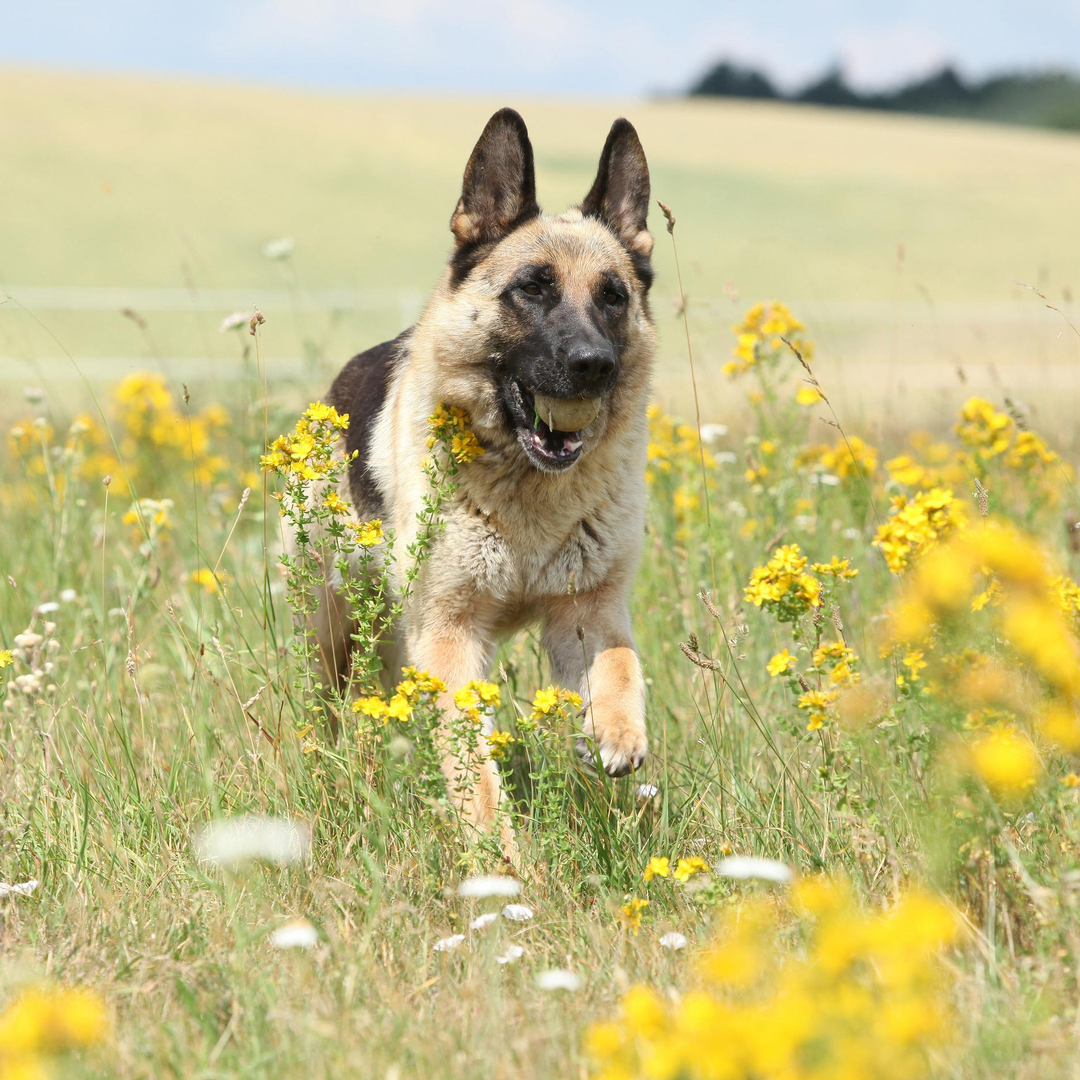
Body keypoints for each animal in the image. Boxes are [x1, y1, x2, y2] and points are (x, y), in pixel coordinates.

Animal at [315, 109, 652, 846]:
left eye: (613, 297)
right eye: (532, 287)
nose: (593, 365)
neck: (527, 492)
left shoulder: (590, 609)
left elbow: (619, 664)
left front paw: (614, 732)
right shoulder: (449, 635)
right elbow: (473, 770)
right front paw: (496, 852)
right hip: (335, 623)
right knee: (329, 699)